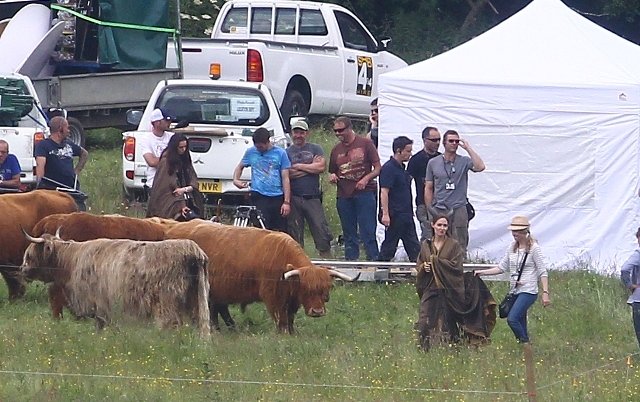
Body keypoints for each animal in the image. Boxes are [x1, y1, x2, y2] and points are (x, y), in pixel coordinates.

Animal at [20, 231, 211, 338]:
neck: (71, 262)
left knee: (170, 326)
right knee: (201, 326)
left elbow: (99, 326)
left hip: (167, 303)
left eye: (29, 255)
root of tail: (192, 249)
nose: (22, 270)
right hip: (197, 300)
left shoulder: (99, 305)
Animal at [162, 220, 358, 334]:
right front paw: (283, 335)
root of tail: (173, 228)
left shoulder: (292, 299)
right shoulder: (272, 296)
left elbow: (290, 318)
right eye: (307, 289)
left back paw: (228, 329)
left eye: (326, 289)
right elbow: (281, 319)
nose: (317, 312)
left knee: (217, 309)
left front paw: (293, 333)